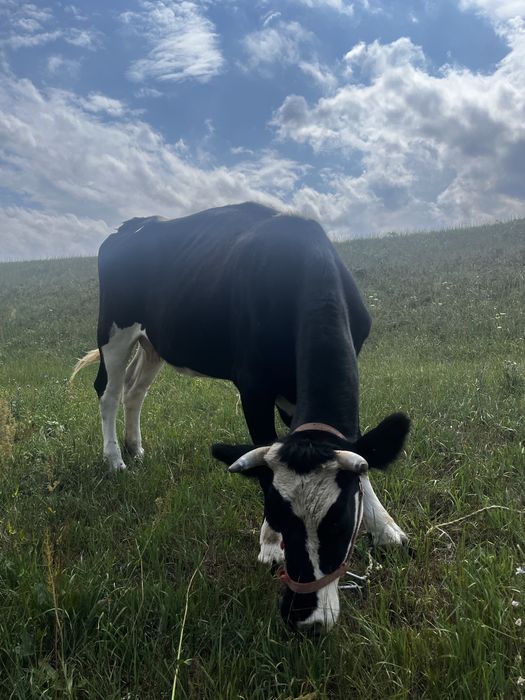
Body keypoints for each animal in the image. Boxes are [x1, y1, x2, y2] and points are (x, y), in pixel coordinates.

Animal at [72, 201, 410, 631]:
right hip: (114, 329)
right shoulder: (254, 387)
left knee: (135, 391)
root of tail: (128, 227)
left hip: (155, 341)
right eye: (280, 516)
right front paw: (269, 545)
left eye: (339, 523)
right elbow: (263, 458)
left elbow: (360, 455)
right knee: (109, 392)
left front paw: (386, 527)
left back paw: (136, 448)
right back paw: (115, 459)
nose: (304, 619)